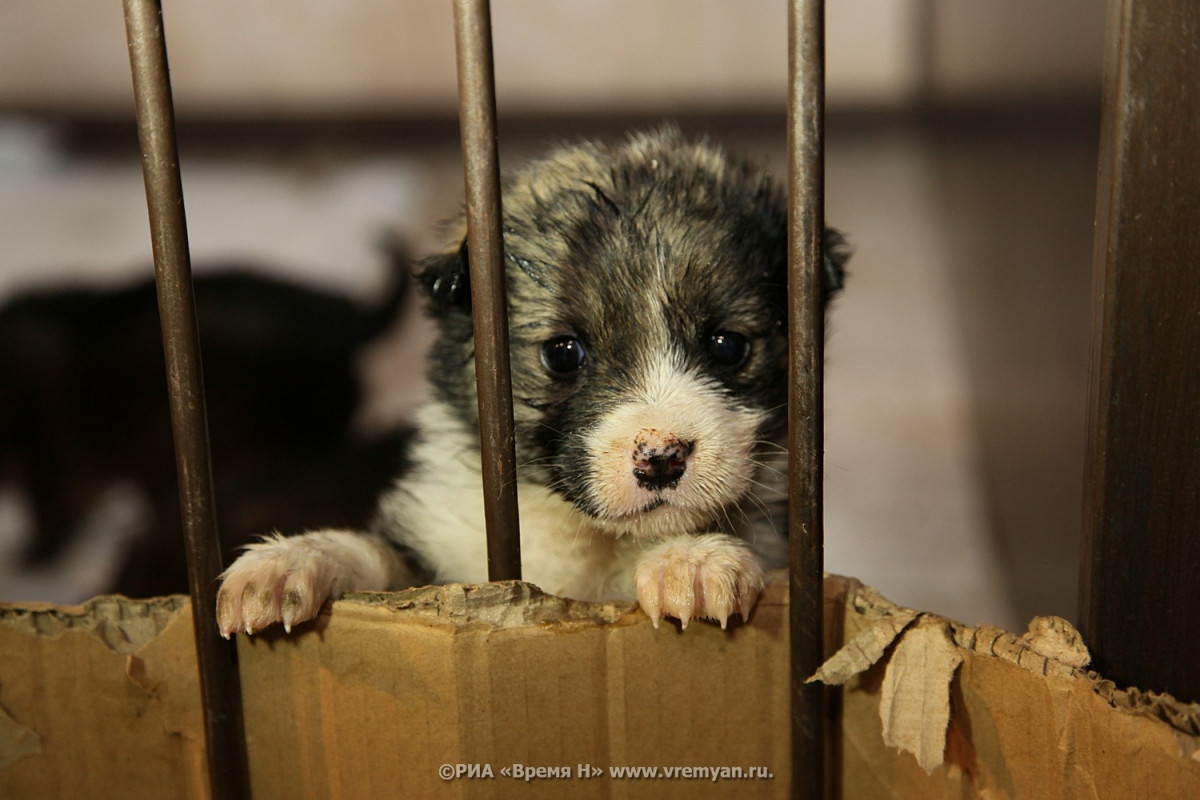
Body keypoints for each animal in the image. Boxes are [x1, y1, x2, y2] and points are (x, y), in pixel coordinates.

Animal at [213, 126, 844, 638]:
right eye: (563, 354)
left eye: (728, 345)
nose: (661, 459)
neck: (581, 537)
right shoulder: (441, 558)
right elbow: (381, 561)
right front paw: (289, 563)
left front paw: (689, 561)